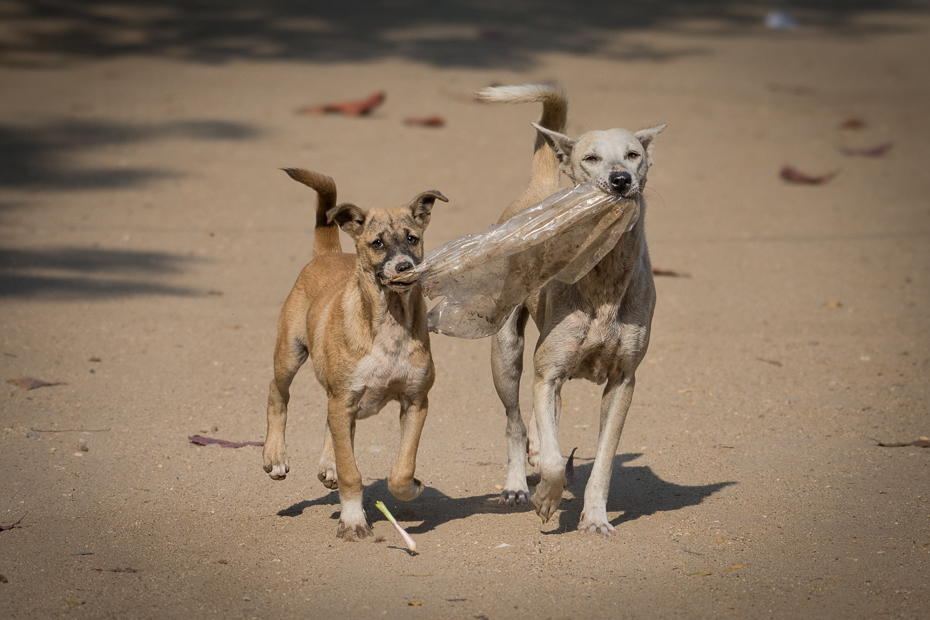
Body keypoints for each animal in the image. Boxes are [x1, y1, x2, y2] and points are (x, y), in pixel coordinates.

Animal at [262, 168, 448, 536]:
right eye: (377, 243)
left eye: (412, 239)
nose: (404, 267)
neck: (390, 321)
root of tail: (326, 253)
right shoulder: (345, 397)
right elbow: (352, 473)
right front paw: (352, 518)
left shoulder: (416, 401)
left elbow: (401, 470)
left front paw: (412, 486)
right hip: (290, 352)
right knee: (278, 393)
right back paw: (275, 456)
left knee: (332, 425)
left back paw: (328, 463)